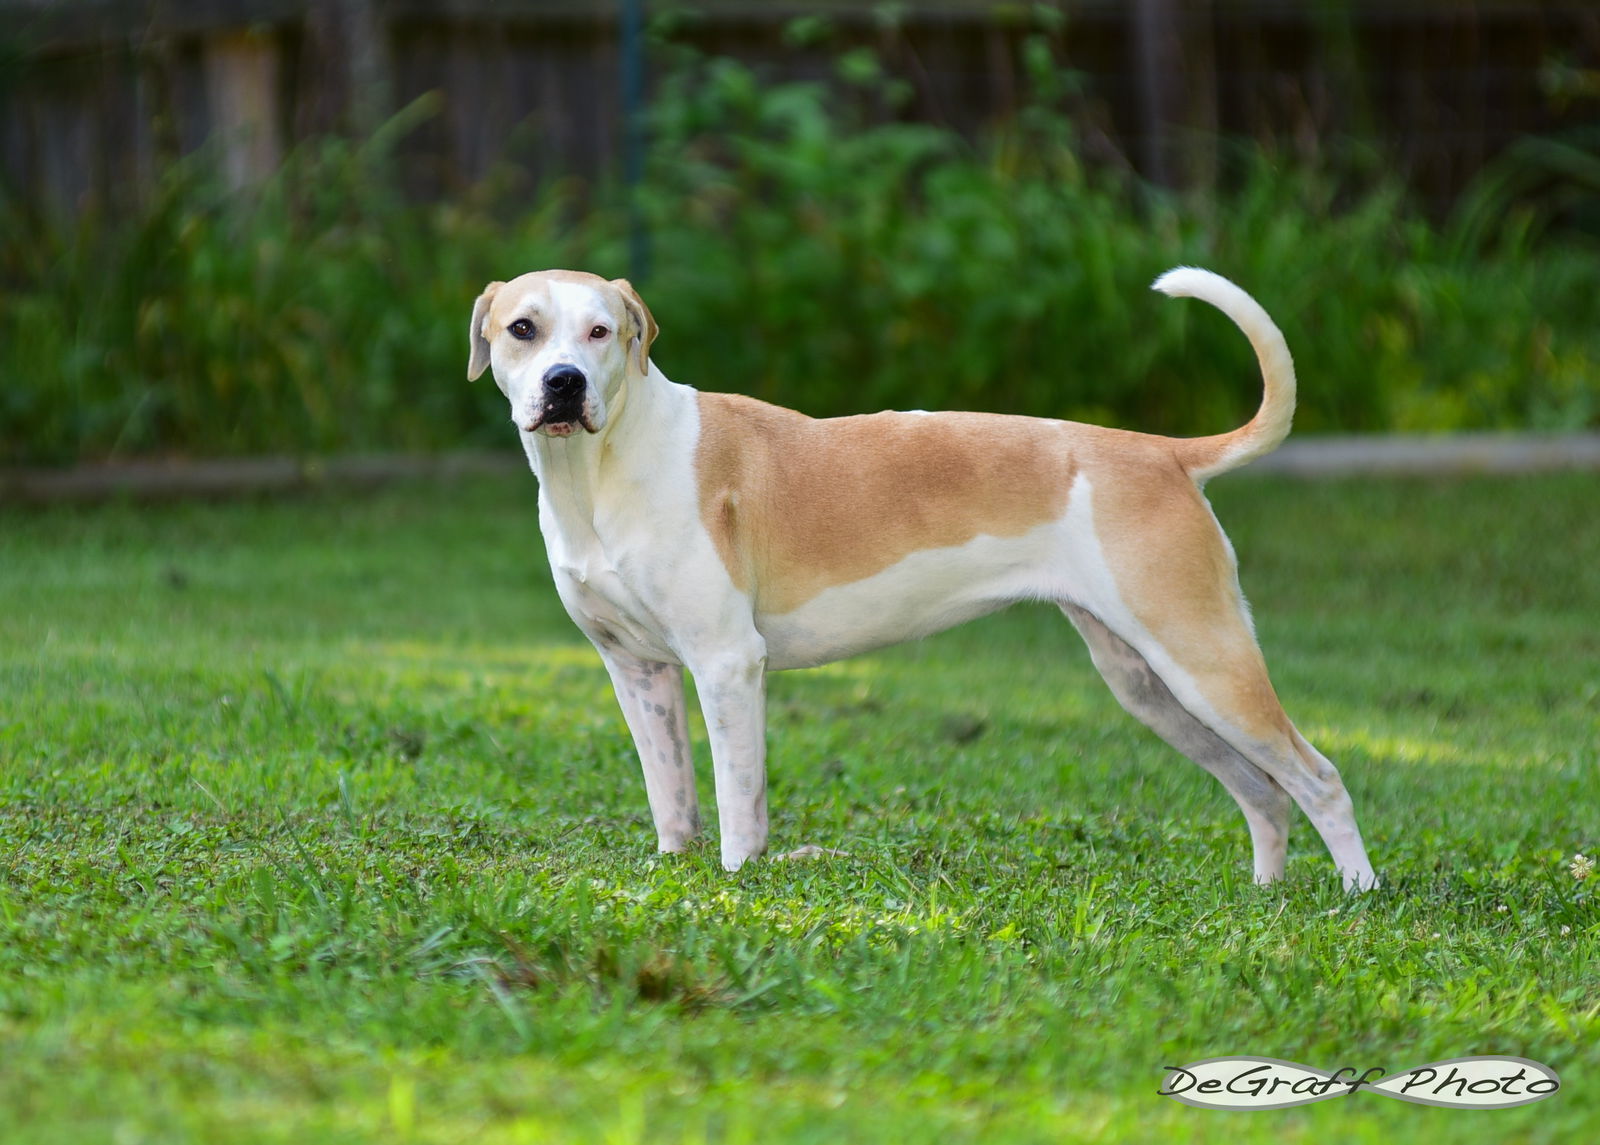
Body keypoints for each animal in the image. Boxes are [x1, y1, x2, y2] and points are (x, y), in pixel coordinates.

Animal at [464, 270, 1376, 895]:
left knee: (1318, 776)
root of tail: (1163, 453)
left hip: (1206, 663)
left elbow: (737, 802)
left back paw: (1359, 893)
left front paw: (737, 883)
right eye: (523, 329)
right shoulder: (638, 670)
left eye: (601, 332)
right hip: (1149, 684)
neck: (602, 468)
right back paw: (1265, 891)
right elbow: (672, 796)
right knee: (1263, 791)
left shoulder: (727, 664)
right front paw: (675, 867)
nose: (564, 385)